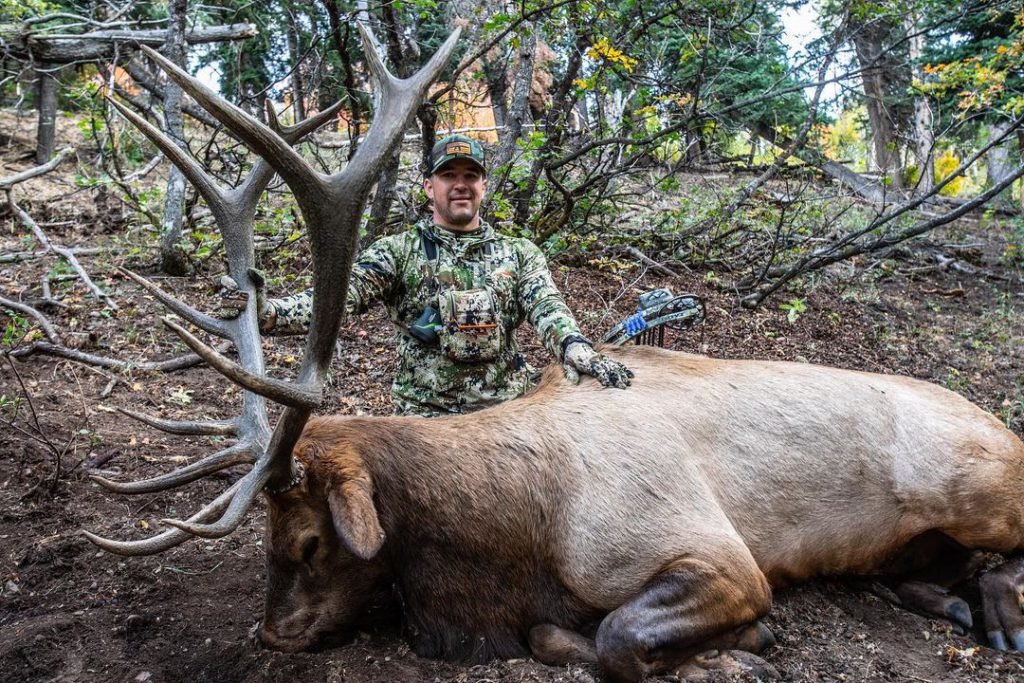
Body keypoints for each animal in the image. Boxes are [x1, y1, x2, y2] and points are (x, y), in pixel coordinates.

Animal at [83, 18, 1024, 683]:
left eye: (311, 541)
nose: (274, 634)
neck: (520, 532)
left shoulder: (721, 555)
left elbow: (614, 636)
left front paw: (742, 647)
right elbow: (552, 635)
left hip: (975, 481)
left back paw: (1001, 609)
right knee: (923, 570)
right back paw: (951, 602)